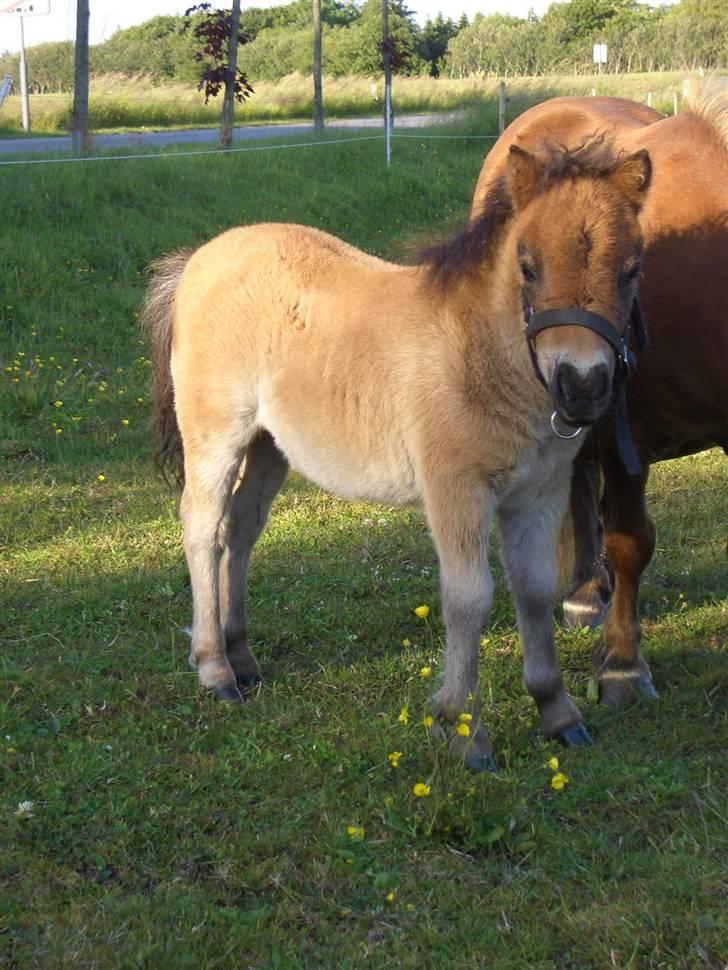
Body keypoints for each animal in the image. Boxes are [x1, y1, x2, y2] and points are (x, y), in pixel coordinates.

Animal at [145, 140, 652, 768]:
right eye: (528, 266)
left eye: (632, 269)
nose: (582, 386)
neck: (477, 355)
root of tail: (197, 260)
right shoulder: (456, 491)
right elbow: (469, 599)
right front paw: (462, 730)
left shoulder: (540, 493)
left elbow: (534, 590)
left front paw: (557, 712)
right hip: (216, 434)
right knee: (202, 528)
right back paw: (215, 669)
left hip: (268, 447)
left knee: (239, 531)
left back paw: (242, 658)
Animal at [472, 85, 728, 704]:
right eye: (526, 266)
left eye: (636, 269)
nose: (583, 381)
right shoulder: (624, 433)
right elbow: (630, 540)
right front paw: (622, 665)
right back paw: (586, 591)